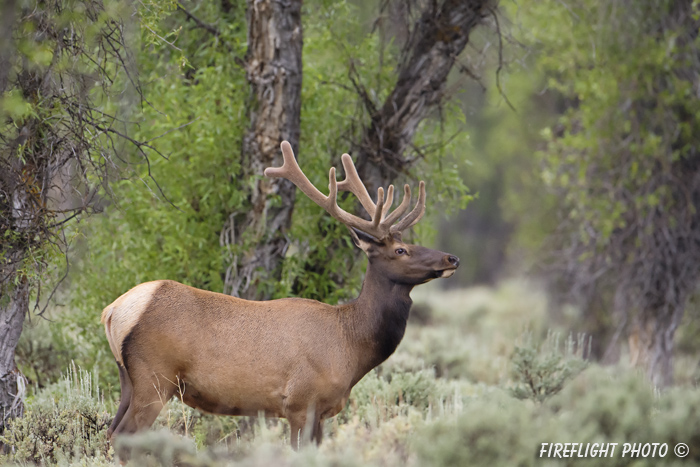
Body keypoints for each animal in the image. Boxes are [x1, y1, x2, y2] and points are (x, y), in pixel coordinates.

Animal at [102, 142, 460, 450]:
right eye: (401, 250)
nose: (451, 258)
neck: (350, 346)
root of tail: (113, 311)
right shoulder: (301, 401)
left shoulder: (322, 411)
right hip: (155, 376)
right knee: (125, 434)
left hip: (128, 378)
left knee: (111, 431)